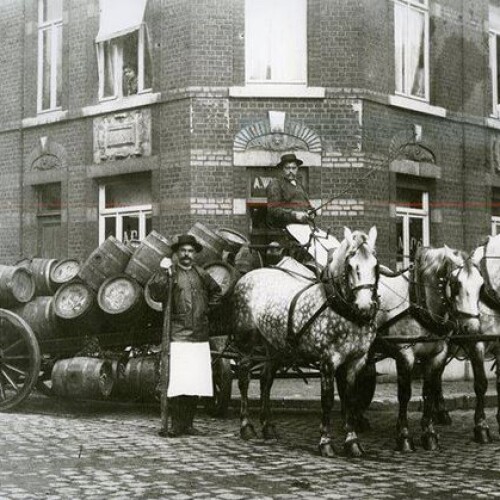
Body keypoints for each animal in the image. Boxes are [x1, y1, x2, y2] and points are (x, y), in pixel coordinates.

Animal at [230, 227, 378, 458]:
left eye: (375, 265)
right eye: (350, 266)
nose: (365, 306)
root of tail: (249, 275)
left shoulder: (357, 361)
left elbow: (350, 399)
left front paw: (353, 441)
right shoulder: (328, 360)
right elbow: (327, 400)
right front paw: (325, 442)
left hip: (275, 345)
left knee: (265, 380)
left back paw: (268, 426)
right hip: (245, 342)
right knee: (244, 378)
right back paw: (246, 426)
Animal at [342, 244, 482, 452]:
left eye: (481, 286)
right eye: (456, 285)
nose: (472, 329)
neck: (420, 302)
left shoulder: (437, 355)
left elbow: (429, 391)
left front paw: (429, 434)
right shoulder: (405, 354)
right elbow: (405, 394)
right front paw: (404, 436)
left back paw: (357, 419)